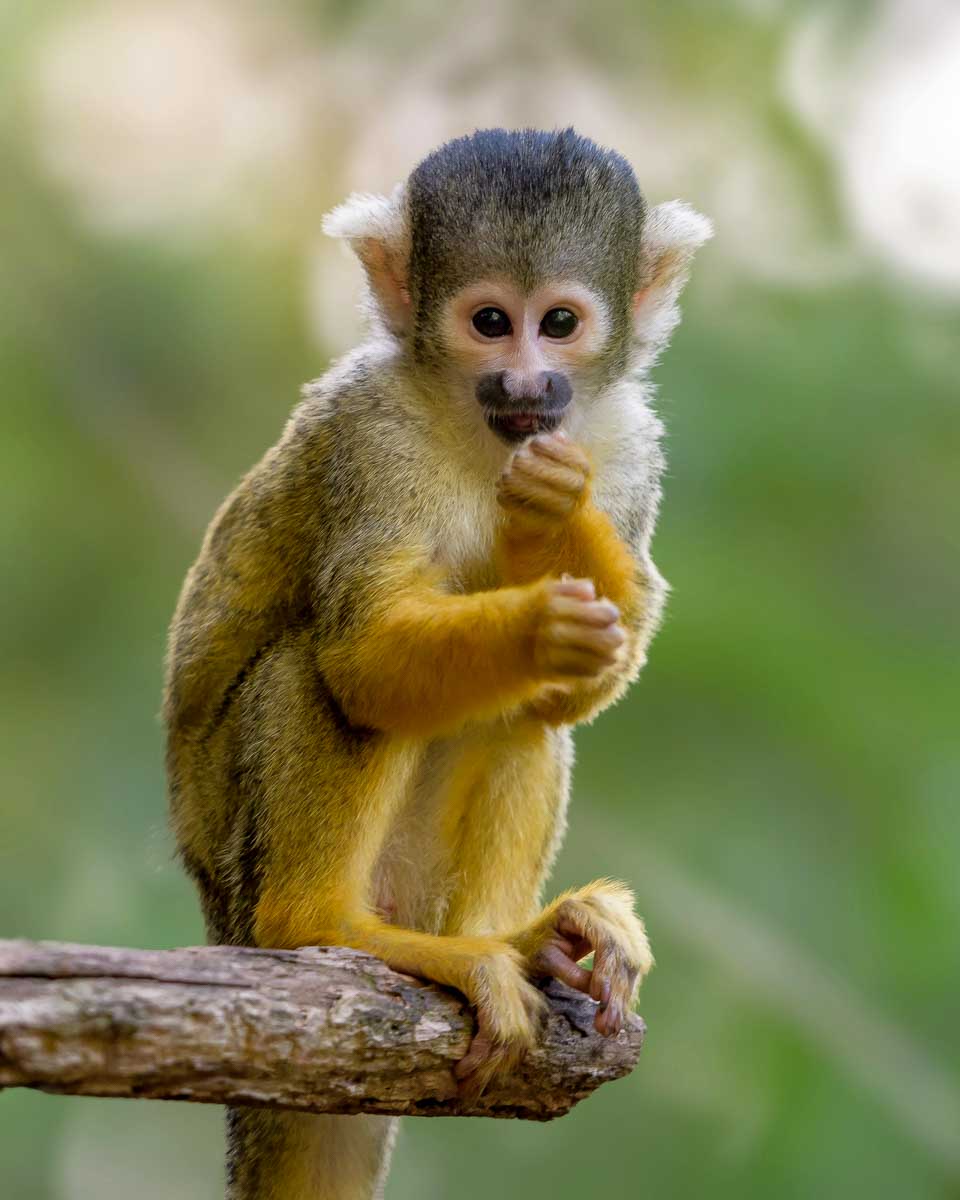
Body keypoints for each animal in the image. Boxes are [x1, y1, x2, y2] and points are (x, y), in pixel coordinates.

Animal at [164, 127, 711, 1200]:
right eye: (490, 322)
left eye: (560, 323)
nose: (529, 386)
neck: (479, 435)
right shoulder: (370, 437)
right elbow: (364, 655)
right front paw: (540, 613)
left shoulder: (632, 443)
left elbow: (601, 667)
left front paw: (558, 516)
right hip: (235, 858)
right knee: (325, 675)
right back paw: (325, 925)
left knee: (524, 716)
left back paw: (519, 942)